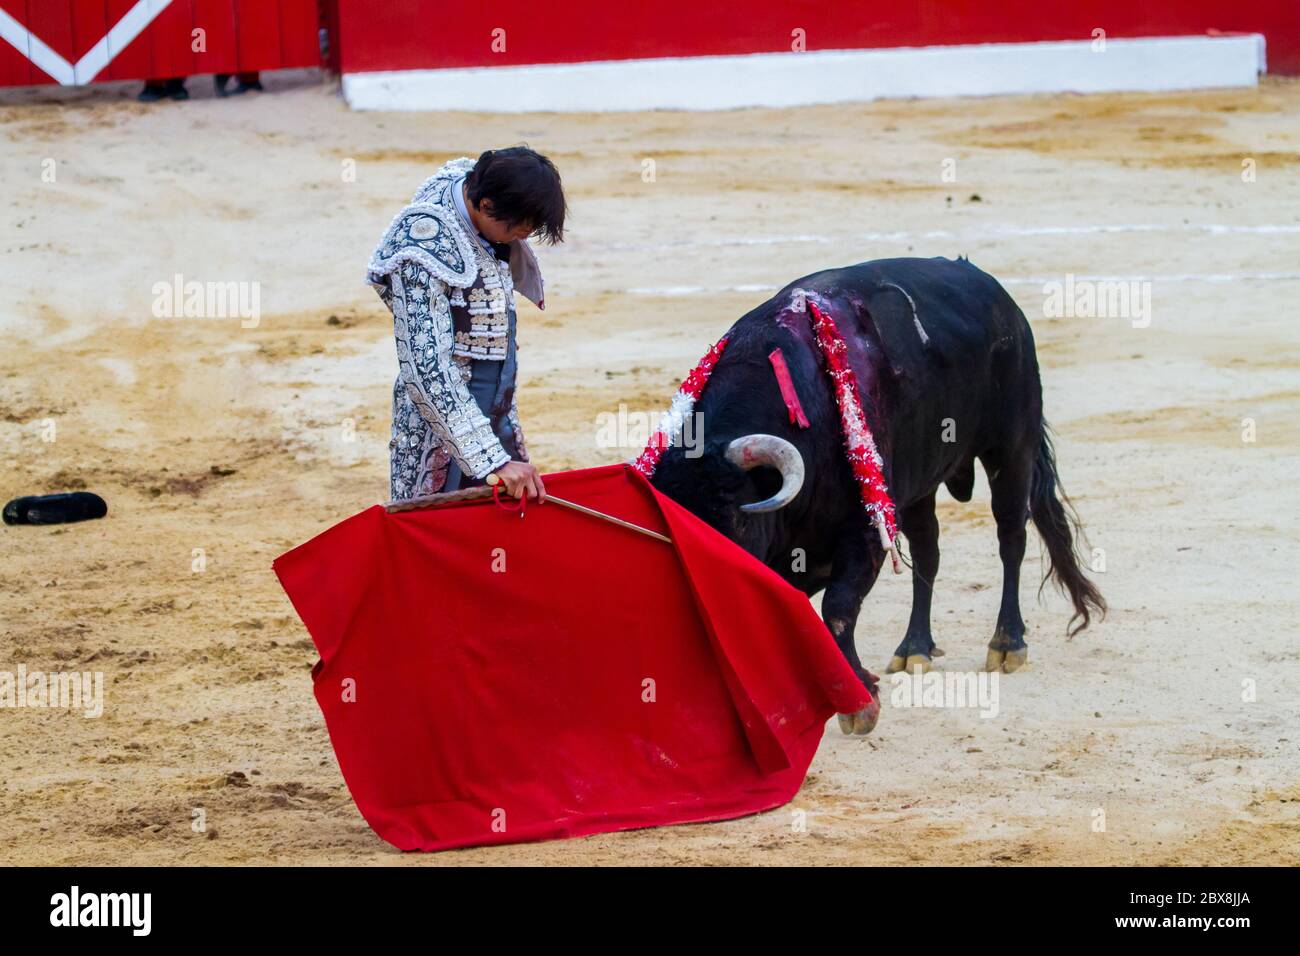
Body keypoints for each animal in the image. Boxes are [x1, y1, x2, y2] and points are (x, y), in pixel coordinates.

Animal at [655, 254, 1102, 733]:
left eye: (734, 518)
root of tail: (1001, 300)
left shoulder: (865, 531)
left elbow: (837, 608)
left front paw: (859, 703)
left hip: (1011, 447)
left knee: (1011, 539)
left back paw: (1007, 642)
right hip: (920, 487)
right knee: (928, 553)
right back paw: (915, 648)